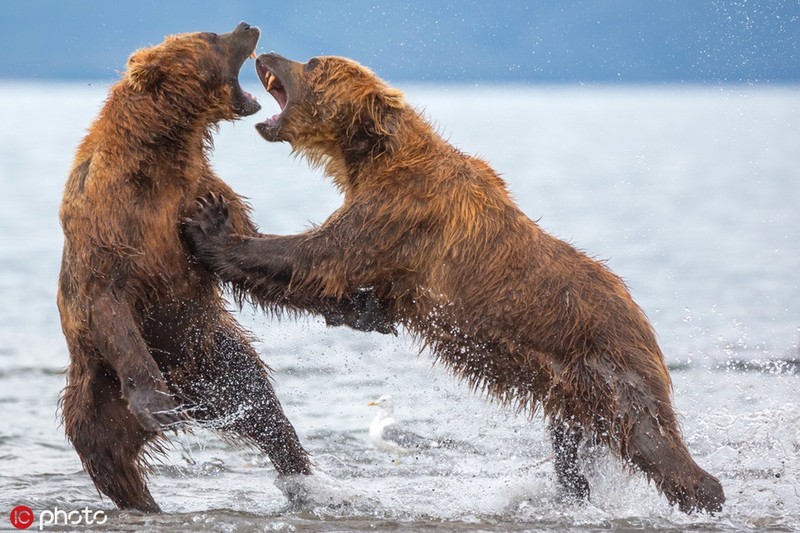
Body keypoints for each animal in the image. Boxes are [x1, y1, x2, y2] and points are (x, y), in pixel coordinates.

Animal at [56, 26, 388, 512]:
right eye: (211, 36)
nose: (247, 25)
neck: (162, 152)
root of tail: (191, 390)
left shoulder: (201, 191)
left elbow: (243, 254)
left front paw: (361, 305)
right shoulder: (108, 220)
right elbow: (108, 299)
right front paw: (158, 405)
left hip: (216, 357)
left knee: (263, 408)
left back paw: (303, 480)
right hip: (97, 391)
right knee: (110, 461)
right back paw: (147, 489)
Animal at [184, 53, 728, 512]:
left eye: (314, 63)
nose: (267, 55)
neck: (373, 157)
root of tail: (640, 313)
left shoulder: (399, 212)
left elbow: (318, 256)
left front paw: (211, 227)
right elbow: (342, 286)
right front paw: (364, 312)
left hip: (611, 364)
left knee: (650, 438)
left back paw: (705, 495)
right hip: (571, 388)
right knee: (572, 447)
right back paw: (569, 494)